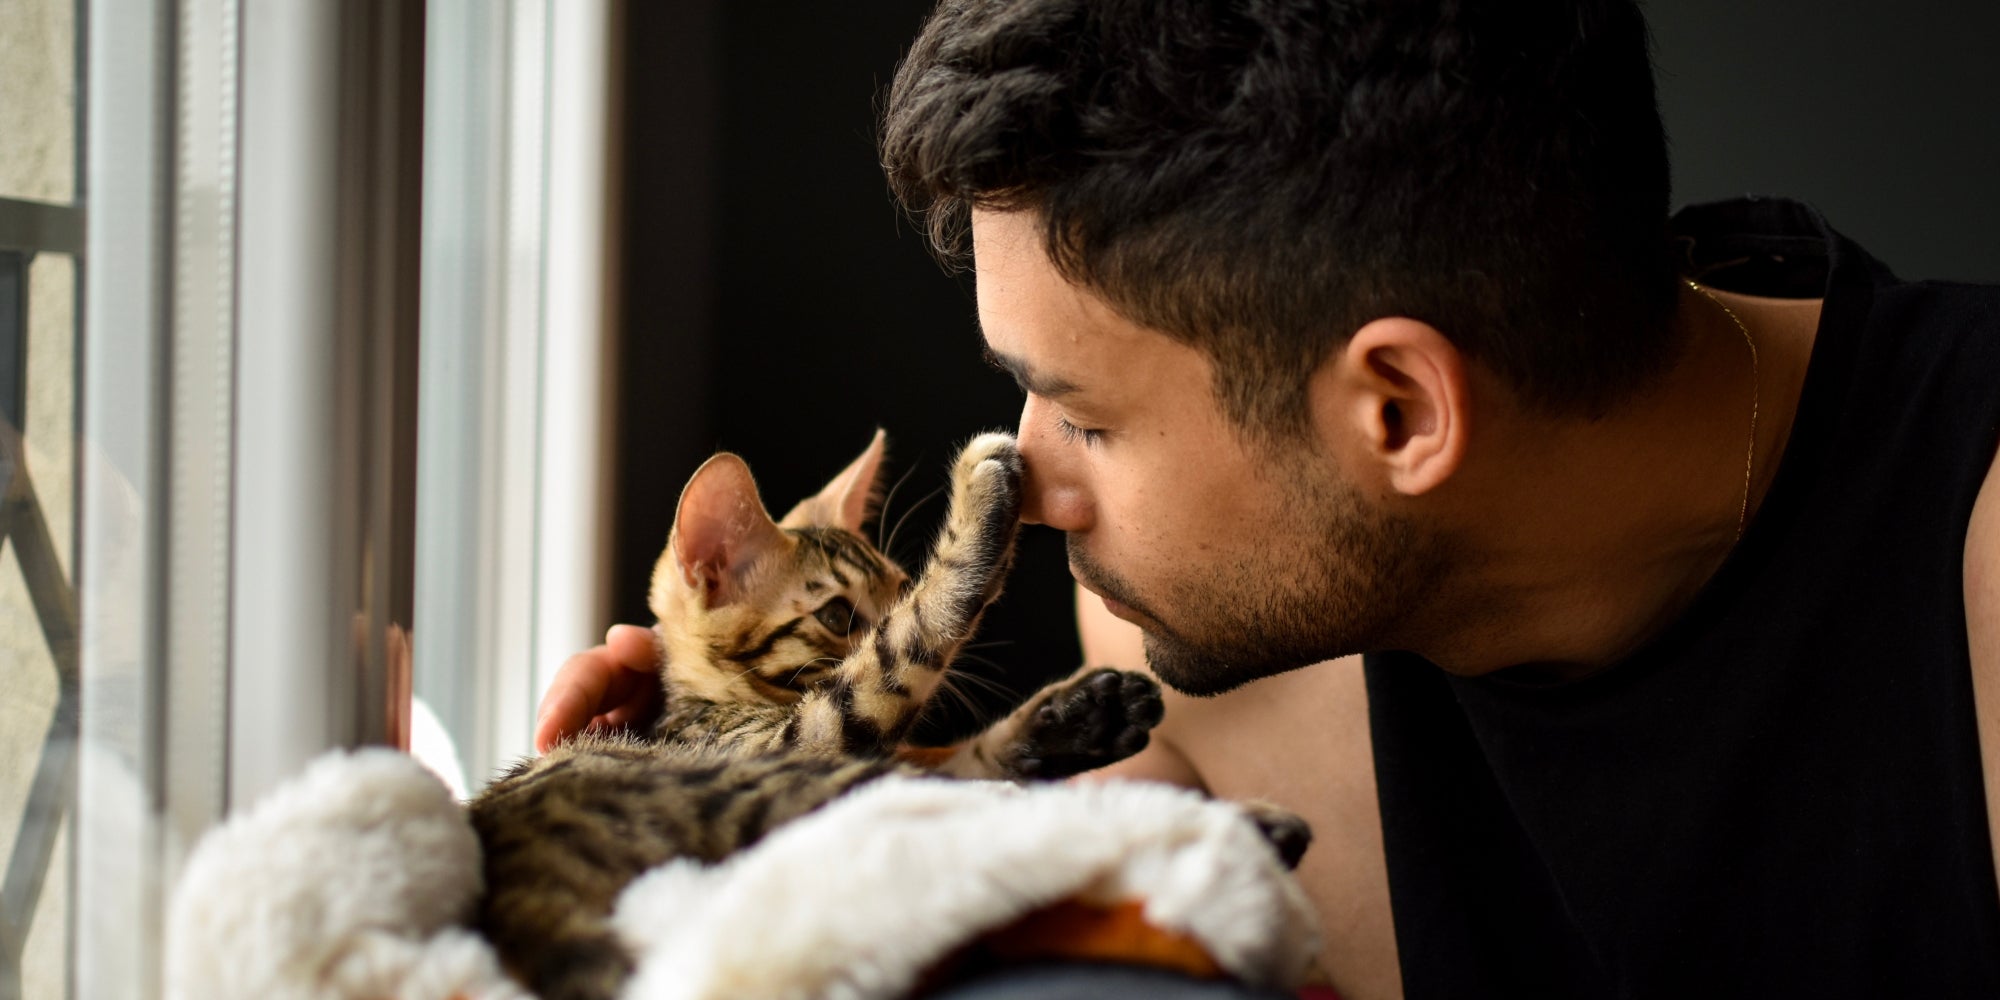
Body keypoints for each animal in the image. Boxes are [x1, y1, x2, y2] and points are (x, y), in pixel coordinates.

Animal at [466, 432, 1168, 1000]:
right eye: (837, 616)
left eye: (896, 586)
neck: (709, 700)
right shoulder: (803, 735)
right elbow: (902, 650)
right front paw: (981, 500)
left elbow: (959, 741)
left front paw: (1081, 714)